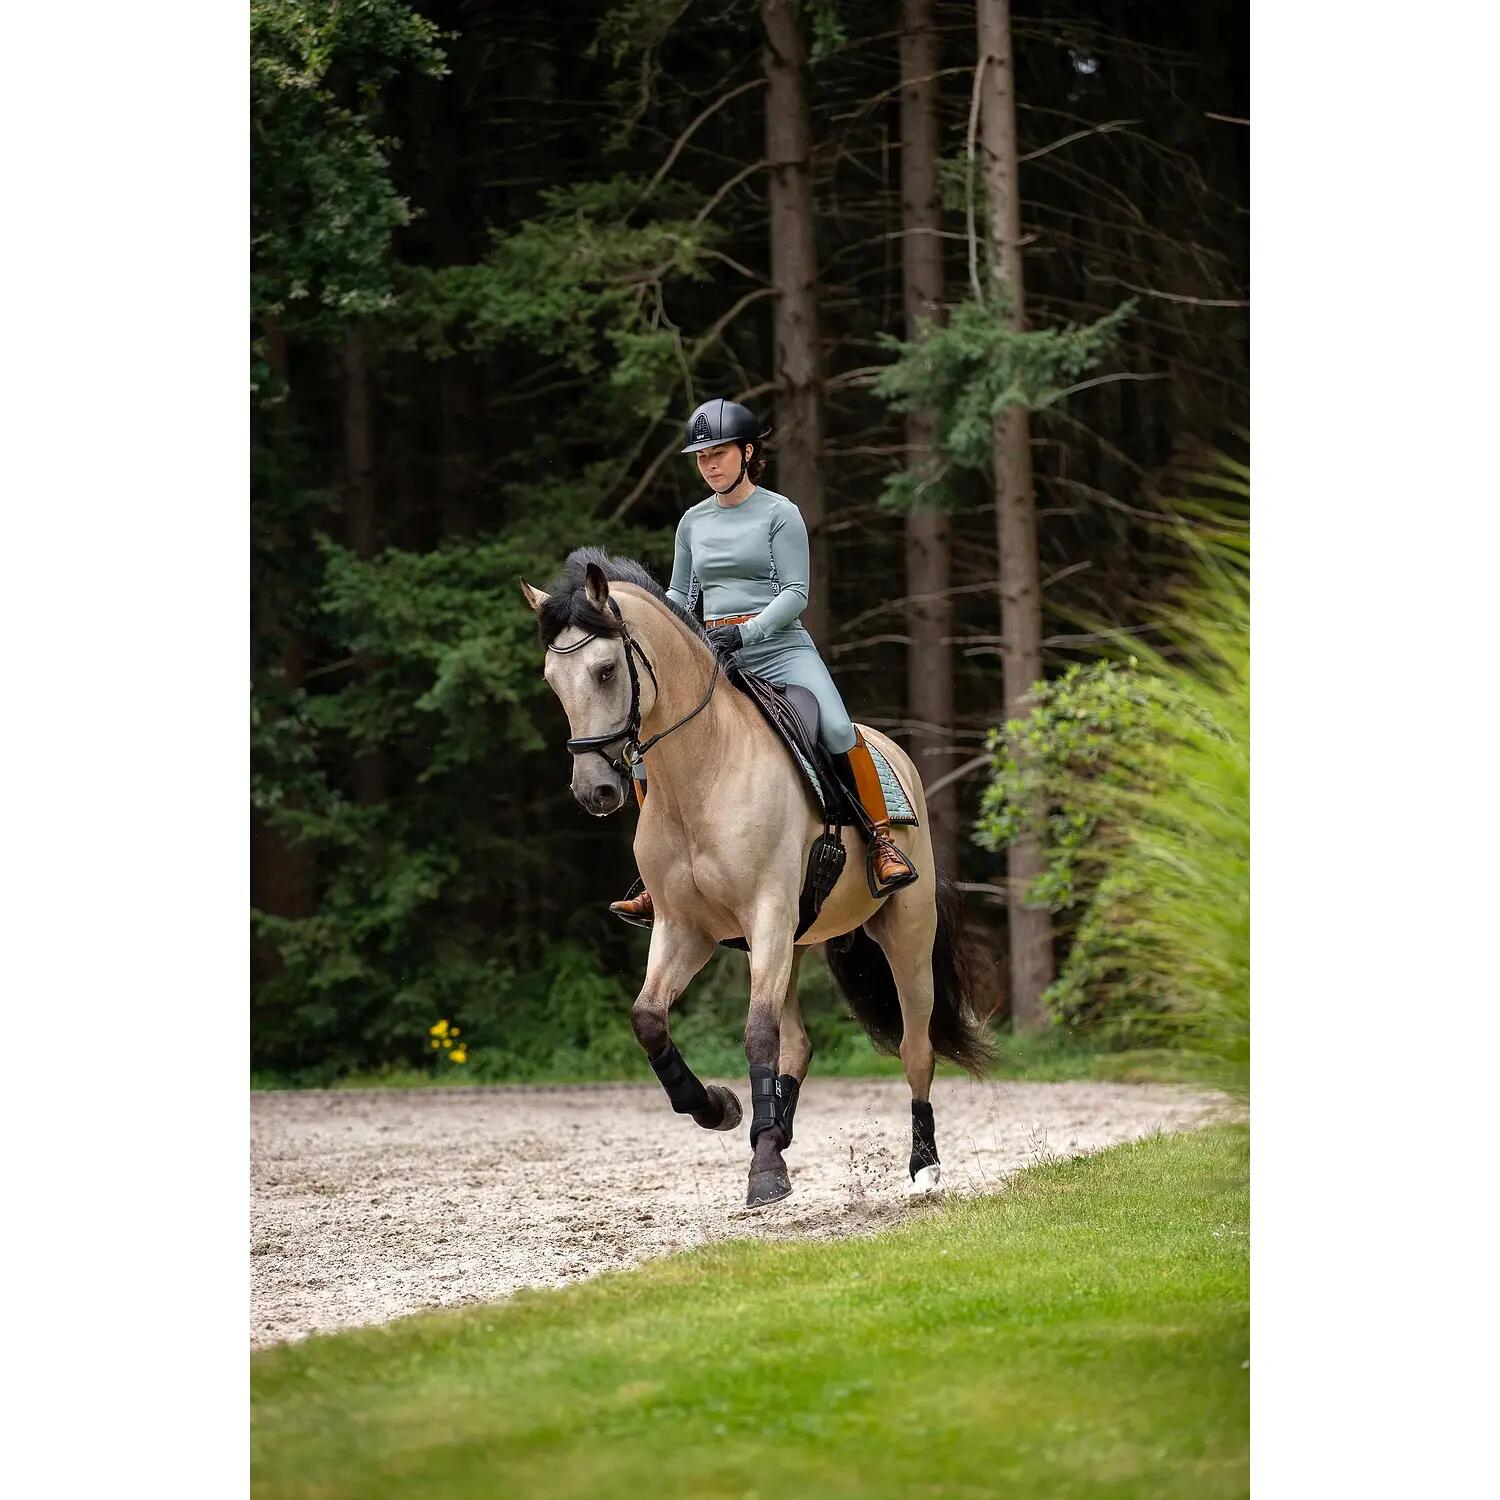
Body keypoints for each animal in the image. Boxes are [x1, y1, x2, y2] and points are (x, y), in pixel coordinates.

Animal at [520, 548, 995, 1208]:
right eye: (552, 680)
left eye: (607, 670)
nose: (595, 792)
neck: (701, 773)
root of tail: (892, 753)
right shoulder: (684, 928)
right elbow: (649, 1020)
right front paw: (718, 1109)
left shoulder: (766, 912)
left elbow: (757, 1033)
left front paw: (765, 1171)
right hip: (794, 942)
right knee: (800, 1043)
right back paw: (777, 1130)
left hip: (905, 938)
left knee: (915, 1047)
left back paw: (923, 1164)